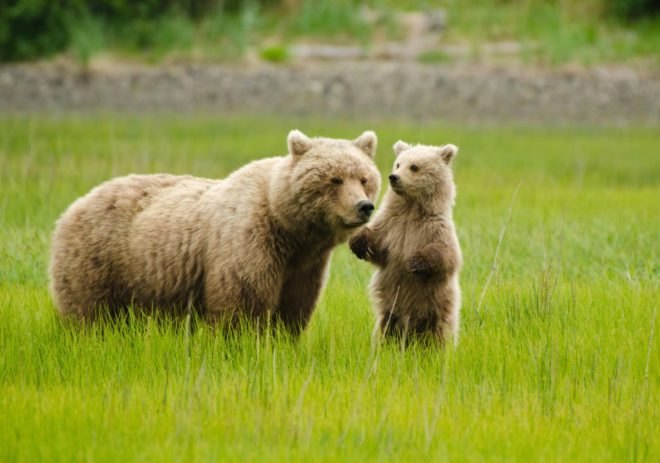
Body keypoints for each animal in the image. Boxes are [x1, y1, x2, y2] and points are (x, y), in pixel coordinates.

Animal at [49, 129, 381, 334]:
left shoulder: (304, 266)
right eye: (334, 179)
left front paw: (282, 340)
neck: (290, 230)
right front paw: (244, 342)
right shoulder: (250, 243)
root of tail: (74, 205)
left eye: (364, 179)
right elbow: (242, 303)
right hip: (99, 258)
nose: (364, 206)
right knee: (89, 312)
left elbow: (294, 308)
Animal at [349, 140, 462, 345]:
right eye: (398, 164)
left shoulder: (435, 229)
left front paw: (415, 262)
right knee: (387, 328)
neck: (411, 207)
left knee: (439, 332)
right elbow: (377, 242)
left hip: (438, 305)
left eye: (414, 167)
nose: (394, 177)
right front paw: (361, 246)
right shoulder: (392, 226)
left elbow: (446, 256)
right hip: (390, 308)